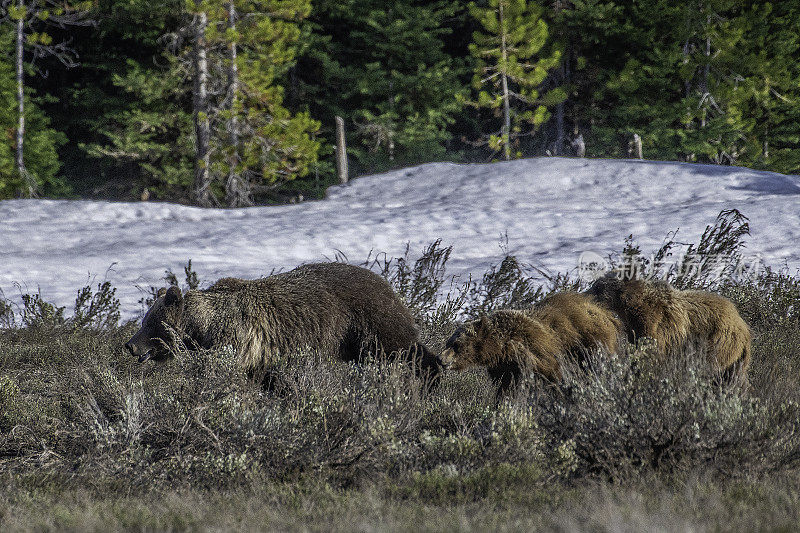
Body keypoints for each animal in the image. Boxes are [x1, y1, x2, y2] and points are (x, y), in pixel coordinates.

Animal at [123, 262, 444, 378]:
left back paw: (431, 377)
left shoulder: (236, 340)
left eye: (151, 323)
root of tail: (386, 283)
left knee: (403, 349)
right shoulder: (260, 353)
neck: (203, 326)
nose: (129, 345)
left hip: (368, 320)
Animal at [440, 290, 620, 394]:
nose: (441, 359)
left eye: (457, 345)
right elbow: (506, 389)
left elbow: (552, 374)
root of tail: (604, 311)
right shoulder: (505, 368)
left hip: (590, 341)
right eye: (448, 342)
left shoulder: (535, 352)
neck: (502, 348)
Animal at [588, 274, 752, 382]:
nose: (585, 292)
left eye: (597, 287)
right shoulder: (633, 328)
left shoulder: (655, 324)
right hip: (736, 358)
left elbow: (651, 351)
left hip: (720, 340)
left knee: (710, 363)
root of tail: (743, 326)